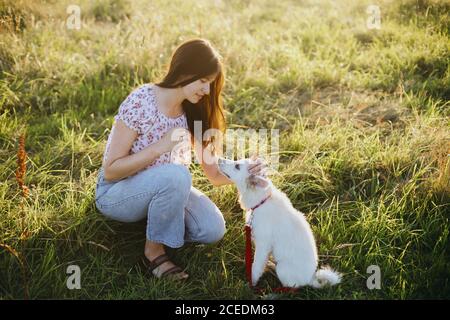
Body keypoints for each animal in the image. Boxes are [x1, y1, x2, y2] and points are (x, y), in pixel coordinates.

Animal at [218, 157, 342, 288]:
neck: (261, 201)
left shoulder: (263, 245)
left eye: (237, 166)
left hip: (282, 269)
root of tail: (310, 279)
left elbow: (256, 266)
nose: (219, 159)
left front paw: (251, 283)